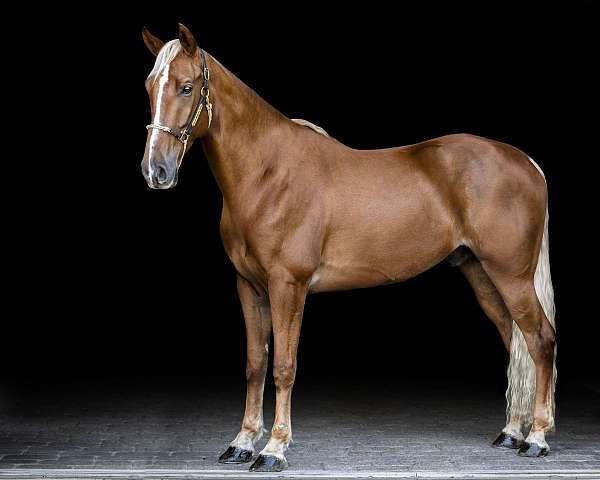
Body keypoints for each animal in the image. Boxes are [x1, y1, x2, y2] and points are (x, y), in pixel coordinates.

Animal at [141, 24, 556, 470]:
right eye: (149, 85)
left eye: (186, 87)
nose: (156, 171)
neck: (268, 173)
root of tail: (526, 162)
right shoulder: (249, 287)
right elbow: (255, 364)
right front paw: (243, 441)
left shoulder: (288, 286)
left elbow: (283, 366)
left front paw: (274, 448)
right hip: (480, 273)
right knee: (515, 343)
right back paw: (512, 432)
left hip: (512, 276)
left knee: (540, 340)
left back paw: (536, 437)